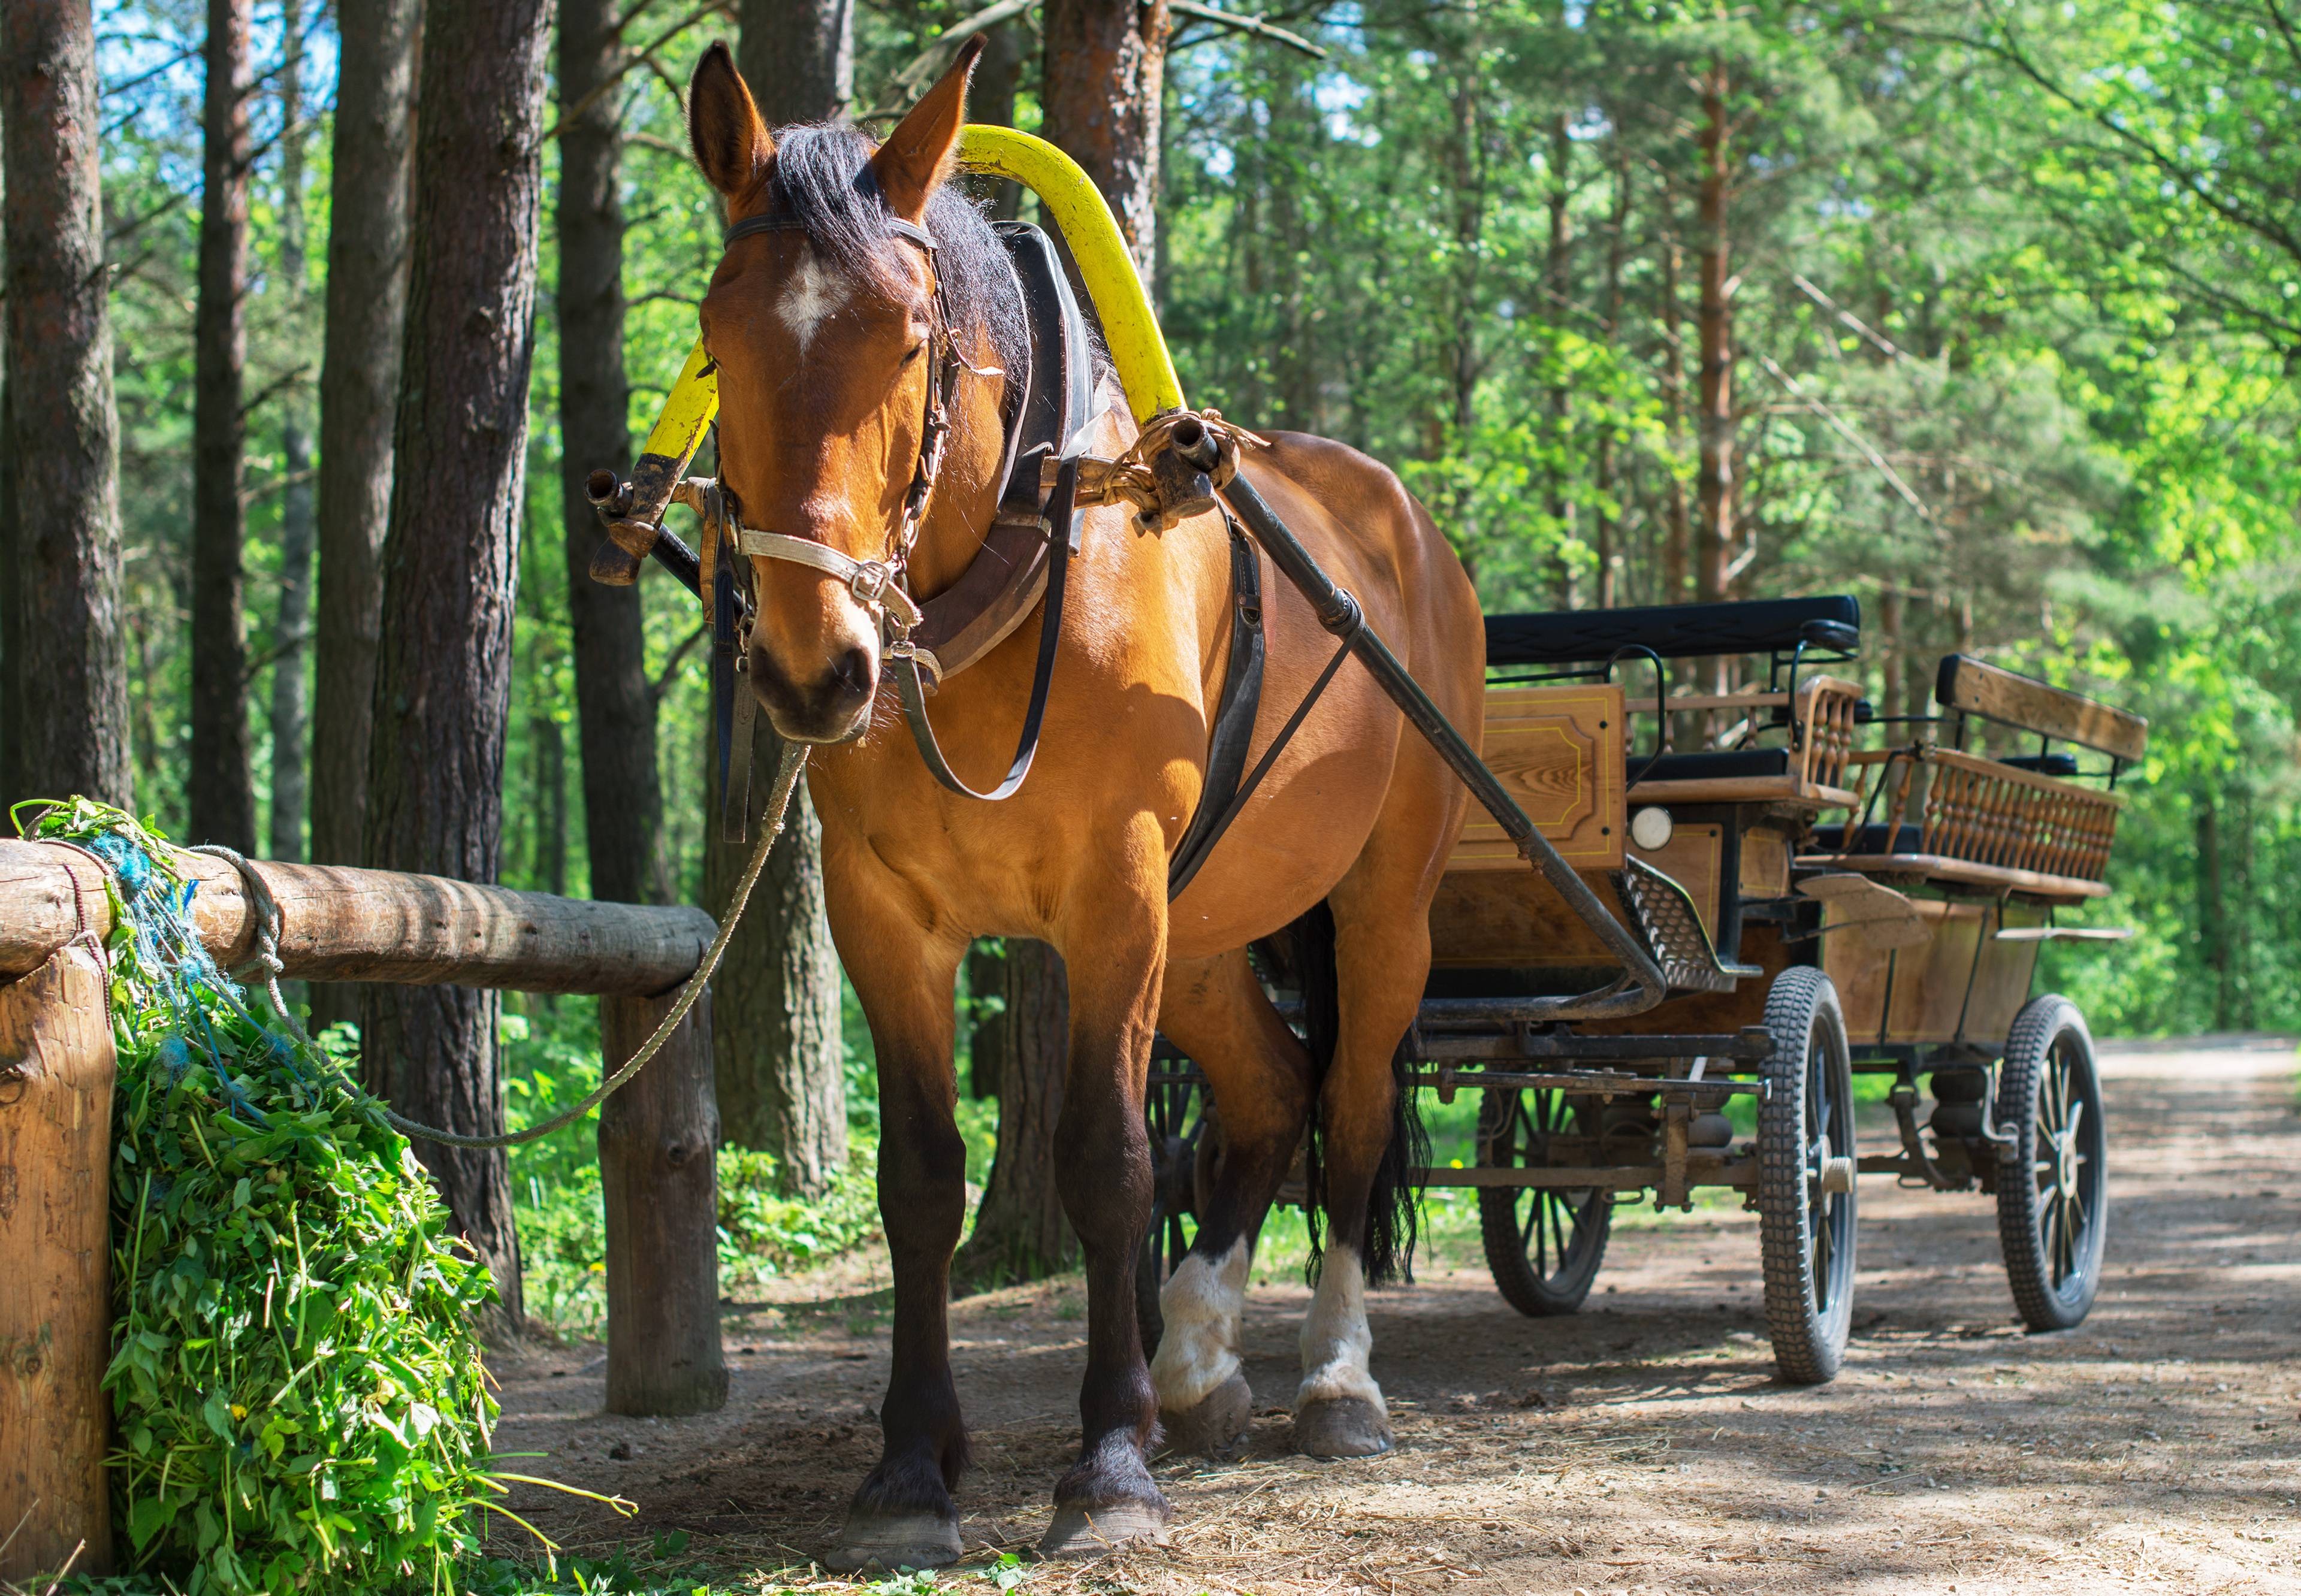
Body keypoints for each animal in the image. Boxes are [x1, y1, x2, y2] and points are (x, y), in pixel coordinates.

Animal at [681, 40, 1481, 1573]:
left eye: (910, 338)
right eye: (713, 335)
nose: (816, 666)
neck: (1015, 554)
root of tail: (1399, 521)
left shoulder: (1115, 893)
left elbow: (1107, 1162)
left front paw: (1107, 1462)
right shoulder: (886, 912)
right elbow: (920, 1178)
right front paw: (909, 1467)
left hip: (1384, 904)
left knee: (1351, 1107)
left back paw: (1336, 1379)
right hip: (1209, 920)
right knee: (1269, 1092)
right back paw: (1199, 1356)